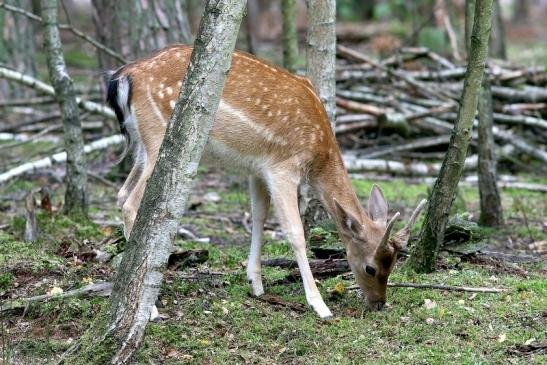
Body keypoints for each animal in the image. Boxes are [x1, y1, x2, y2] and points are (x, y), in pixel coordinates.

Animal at [108, 44, 428, 318]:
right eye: (371, 268)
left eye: (394, 263)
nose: (379, 303)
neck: (318, 154)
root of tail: (125, 75)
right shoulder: (282, 167)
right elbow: (295, 232)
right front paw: (320, 306)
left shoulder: (257, 168)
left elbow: (259, 216)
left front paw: (256, 284)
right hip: (159, 135)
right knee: (131, 203)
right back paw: (149, 309)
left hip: (142, 142)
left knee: (122, 193)